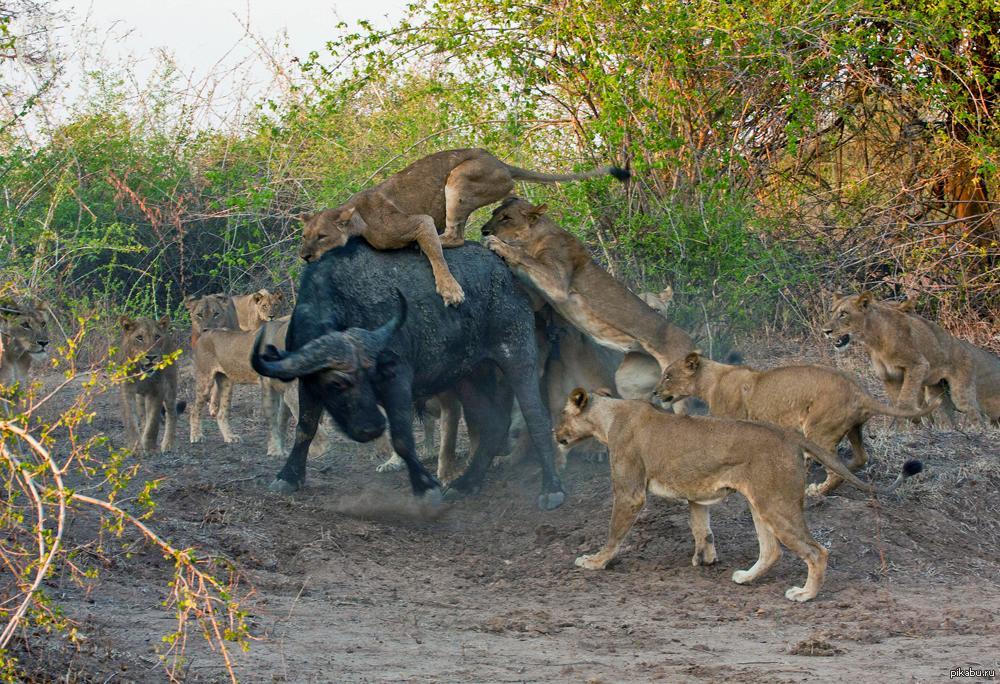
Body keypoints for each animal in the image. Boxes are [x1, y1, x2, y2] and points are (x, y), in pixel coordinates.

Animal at [250, 239, 568, 508]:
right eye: (338, 383)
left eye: (373, 374)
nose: (372, 427)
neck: (344, 300)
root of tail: (505, 273)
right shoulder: (307, 381)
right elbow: (305, 428)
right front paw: (288, 476)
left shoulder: (397, 379)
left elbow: (402, 437)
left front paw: (425, 485)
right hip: (468, 374)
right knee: (494, 423)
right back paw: (467, 483)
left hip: (517, 353)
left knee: (536, 416)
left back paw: (551, 488)